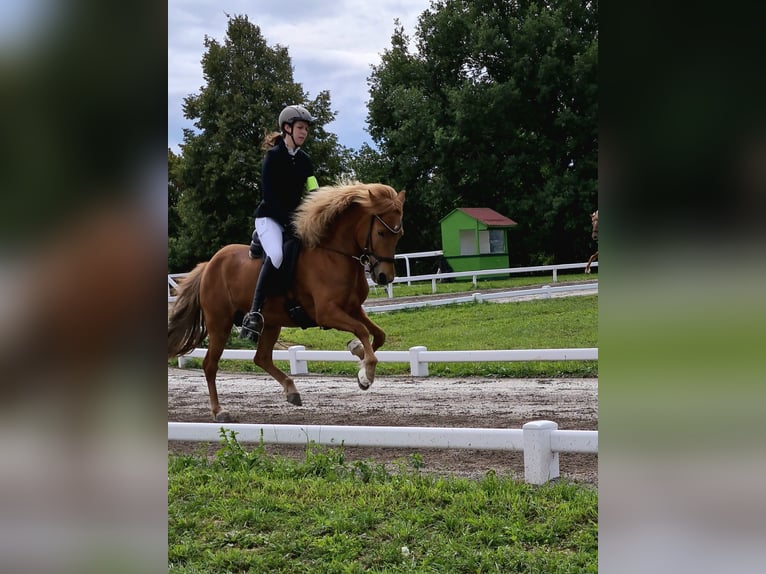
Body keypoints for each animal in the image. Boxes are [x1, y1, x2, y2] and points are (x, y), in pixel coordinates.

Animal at [167, 182, 406, 422]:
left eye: (399, 235)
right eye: (380, 232)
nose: (385, 277)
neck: (333, 255)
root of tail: (208, 265)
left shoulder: (353, 308)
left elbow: (378, 335)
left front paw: (359, 360)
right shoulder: (327, 313)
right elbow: (362, 331)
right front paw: (366, 374)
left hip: (271, 323)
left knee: (261, 358)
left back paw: (292, 390)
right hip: (220, 324)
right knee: (210, 365)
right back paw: (219, 411)